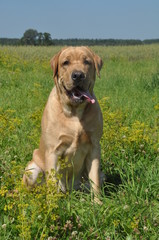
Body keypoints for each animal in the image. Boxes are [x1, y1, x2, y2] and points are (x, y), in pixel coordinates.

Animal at [23, 46, 103, 201]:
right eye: (65, 62)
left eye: (87, 62)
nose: (78, 75)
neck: (74, 112)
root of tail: (69, 190)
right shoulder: (53, 151)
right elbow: (52, 183)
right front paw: (52, 206)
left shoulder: (94, 148)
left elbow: (95, 181)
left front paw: (98, 203)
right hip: (33, 170)